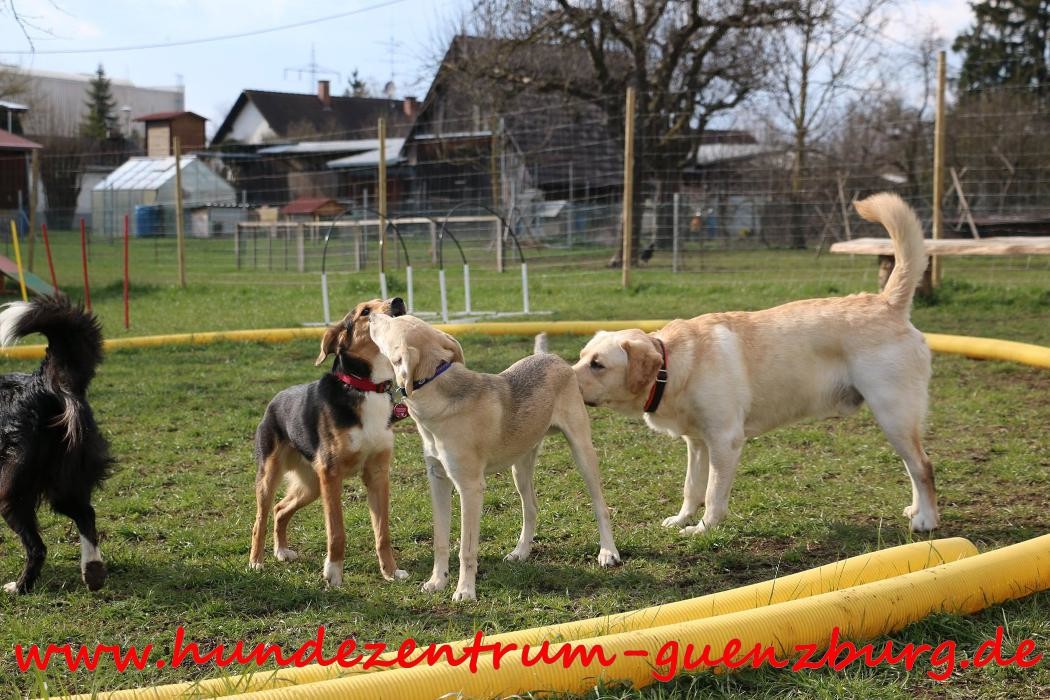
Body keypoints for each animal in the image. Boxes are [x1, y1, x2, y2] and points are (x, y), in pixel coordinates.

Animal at [0, 293, 112, 596]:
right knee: (86, 513)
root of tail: (41, 383)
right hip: (65, 476)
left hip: (13, 486)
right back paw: (93, 572)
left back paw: (20, 587)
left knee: (37, 547)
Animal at [247, 298, 407, 587]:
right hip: (270, 476)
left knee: (280, 509)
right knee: (260, 519)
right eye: (365, 311)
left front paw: (390, 572)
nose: (398, 301)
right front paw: (333, 573)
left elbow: (383, 533)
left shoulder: (378, 474)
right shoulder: (331, 475)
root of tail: (274, 400)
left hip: (310, 485)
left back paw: (282, 551)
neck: (365, 387)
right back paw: (256, 561)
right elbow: (336, 532)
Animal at [369, 314, 617, 600]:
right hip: (520, 467)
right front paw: (437, 581)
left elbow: (466, 549)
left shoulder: (470, 488)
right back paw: (521, 552)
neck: (436, 392)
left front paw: (465, 591)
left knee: (600, 506)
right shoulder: (438, 480)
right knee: (531, 508)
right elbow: (440, 540)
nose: (370, 314)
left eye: (392, 323)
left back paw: (608, 553)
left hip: (582, 452)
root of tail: (552, 357)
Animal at [571, 192, 940, 531]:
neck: (672, 367)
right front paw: (681, 519)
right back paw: (914, 510)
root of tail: (887, 302)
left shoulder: (724, 440)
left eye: (597, 364)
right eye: (580, 357)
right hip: (895, 420)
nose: (565, 378)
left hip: (892, 412)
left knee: (923, 466)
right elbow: (692, 488)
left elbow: (713, 494)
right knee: (912, 465)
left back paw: (926, 521)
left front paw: (703, 529)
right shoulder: (697, 443)